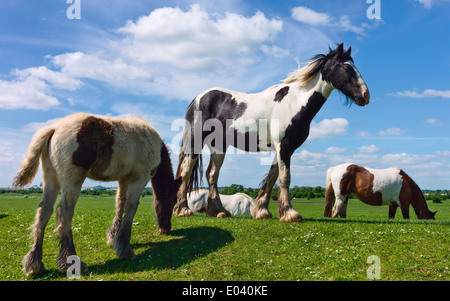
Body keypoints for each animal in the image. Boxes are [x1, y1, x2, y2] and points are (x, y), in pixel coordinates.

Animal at [12, 112, 181, 274]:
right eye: (172, 201)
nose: (166, 228)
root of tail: (54, 128)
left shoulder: (123, 179)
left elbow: (120, 203)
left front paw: (113, 238)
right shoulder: (139, 178)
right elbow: (131, 208)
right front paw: (125, 249)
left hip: (51, 178)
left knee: (44, 210)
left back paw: (34, 263)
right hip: (73, 180)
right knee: (64, 212)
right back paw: (72, 262)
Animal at [172, 43, 370, 221]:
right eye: (346, 67)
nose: (365, 95)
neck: (294, 102)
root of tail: (198, 98)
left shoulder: (284, 148)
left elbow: (272, 177)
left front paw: (262, 211)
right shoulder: (284, 146)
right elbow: (284, 177)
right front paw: (290, 214)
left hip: (219, 145)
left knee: (212, 174)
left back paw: (219, 211)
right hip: (195, 141)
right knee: (186, 170)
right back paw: (182, 210)